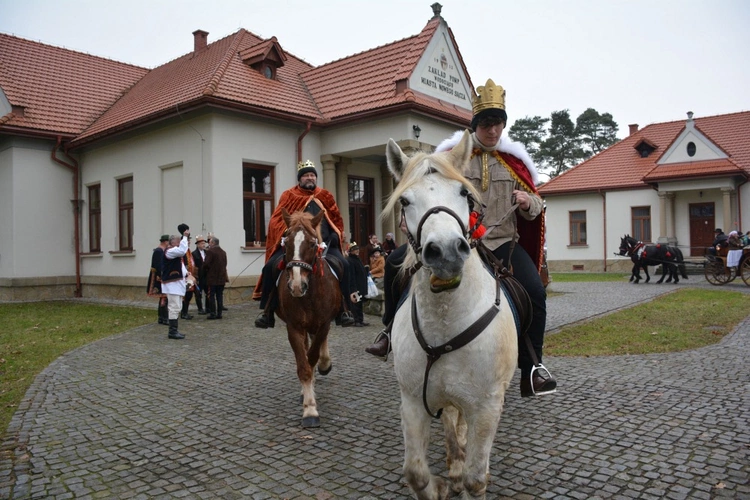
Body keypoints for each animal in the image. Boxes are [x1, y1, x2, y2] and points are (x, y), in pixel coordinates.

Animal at [276, 209, 344, 428]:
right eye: (286, 242)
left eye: (313, 244)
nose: (297, 285)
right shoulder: (294, 327)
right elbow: (304, 365)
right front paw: (309, 410)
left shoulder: (323, 324)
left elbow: (313, 358)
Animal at [388, 131, 516, 498]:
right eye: (405, 201)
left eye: (463, 193)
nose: (445, 251)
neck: (445, 321)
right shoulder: (413, 401)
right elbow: (416, 473)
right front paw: (442, 485)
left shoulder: (486, 407)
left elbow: (476, 478)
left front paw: (465, 475)